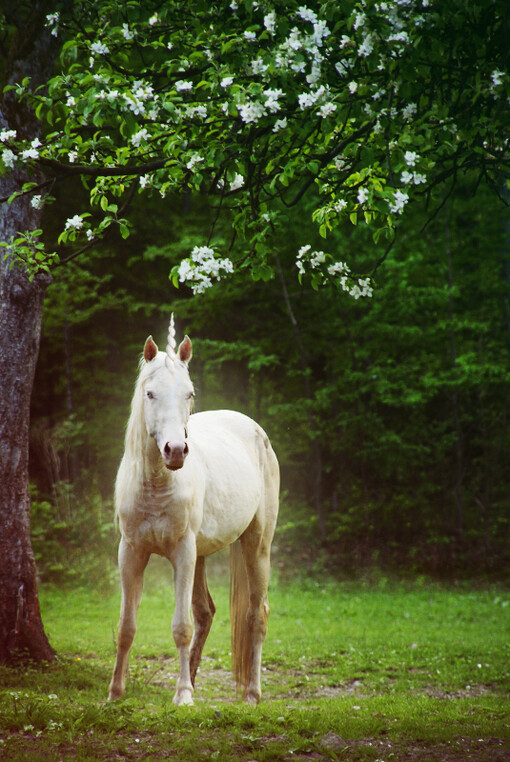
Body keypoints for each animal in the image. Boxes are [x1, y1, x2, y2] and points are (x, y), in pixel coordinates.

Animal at [107, 314, 278, 700]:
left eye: (189, 393)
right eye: (150, 393)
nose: (175, 450)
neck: (156, 485)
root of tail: (253, 429)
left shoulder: (182, 553)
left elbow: (180, 626)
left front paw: (183, 694)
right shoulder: (131, 552)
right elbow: (126, 625)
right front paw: (115, 693)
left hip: (256, 545)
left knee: (256, 613)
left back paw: (252, 693)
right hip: (201, 555)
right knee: (206, 612)